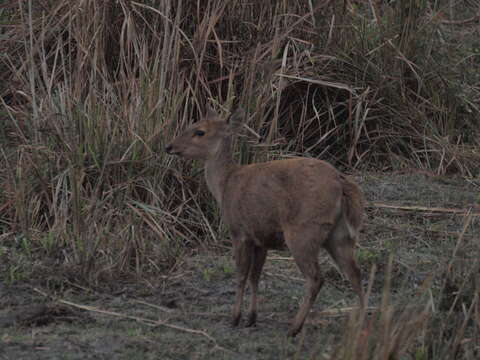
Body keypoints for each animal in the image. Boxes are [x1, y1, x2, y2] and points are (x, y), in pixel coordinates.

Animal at [165, 105, 364, 336]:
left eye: (200, 131)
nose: (169, 146)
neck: (225, 185)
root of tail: (341, 183)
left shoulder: (239, 232)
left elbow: (241, 275)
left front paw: (235, 318)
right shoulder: (261, 239)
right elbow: (255, 276)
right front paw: (251, 318)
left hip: (303, 232)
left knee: (316, 277)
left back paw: (294, 328)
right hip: (339, 235)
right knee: (354, 272)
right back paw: (359, 323)